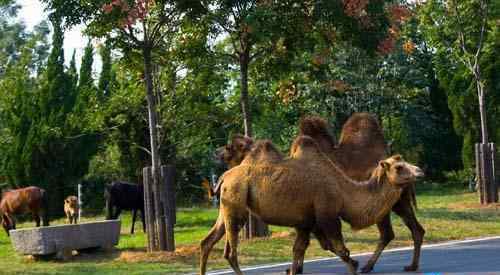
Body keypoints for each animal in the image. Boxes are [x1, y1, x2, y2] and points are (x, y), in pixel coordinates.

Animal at [212, 112, 426, 274]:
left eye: (230, 147)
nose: (216, 152)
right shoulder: (311, 216)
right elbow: (313, 245)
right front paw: (293, 269)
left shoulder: (316, 215)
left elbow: (317, 245)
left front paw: (295, 269)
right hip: (399, 202)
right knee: (409, 229)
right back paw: (403, 265)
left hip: (397, 202)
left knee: (392, 232)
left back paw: (376, 266)